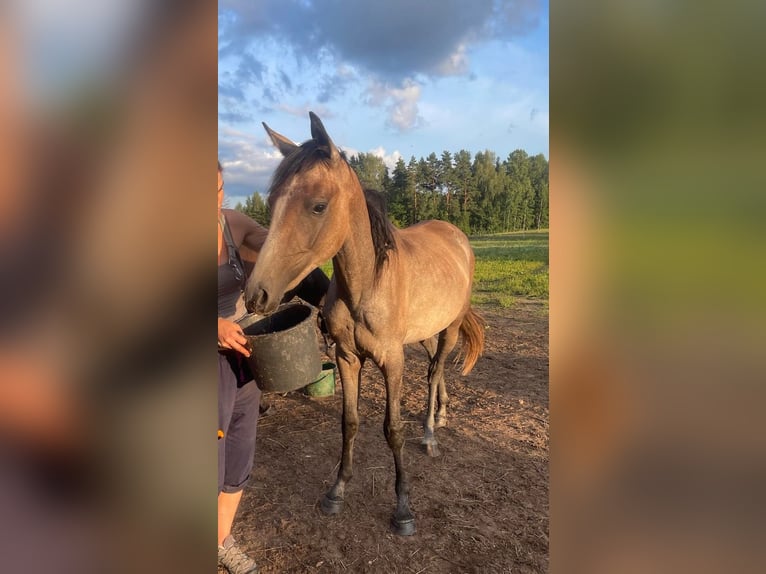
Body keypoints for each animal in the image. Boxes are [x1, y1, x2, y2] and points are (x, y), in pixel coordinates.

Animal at [246, 113, 486, 540]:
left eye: (318, 205)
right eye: (272, 203)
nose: (257, 294)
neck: (368, 282)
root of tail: (456, 235)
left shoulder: (392, 361)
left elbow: (393, 429)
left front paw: (403, 509)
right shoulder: (347, 357)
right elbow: (350, 421)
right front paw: (337, 490)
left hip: (451, 327)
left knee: (436, 370)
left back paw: (430, 432)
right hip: (426, 332)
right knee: (435, 368)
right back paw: (441, 414)